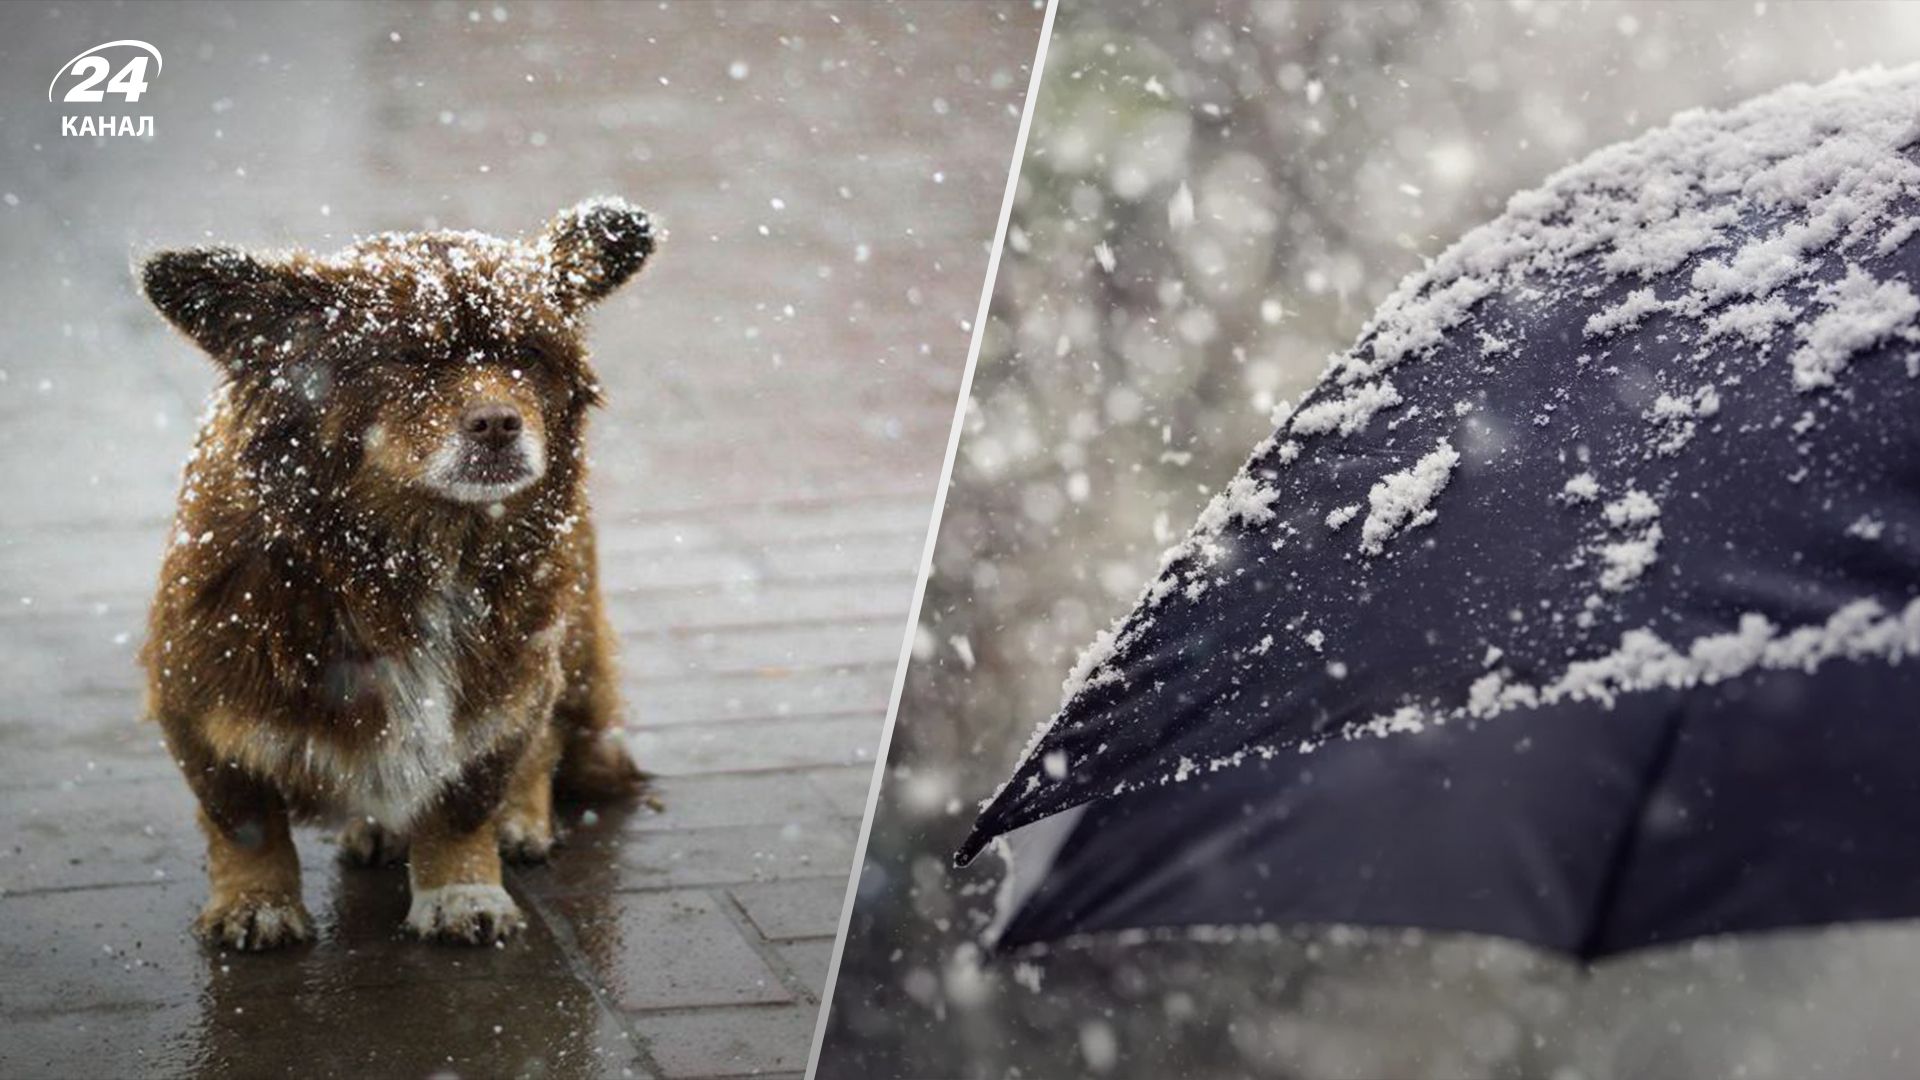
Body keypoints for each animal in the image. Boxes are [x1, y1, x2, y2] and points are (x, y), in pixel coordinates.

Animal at [137, 197, 652, 945]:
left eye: (527, 353)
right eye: (406, 358)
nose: (498, 423)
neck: (411, 552)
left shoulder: (502, 690)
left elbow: (466, 799)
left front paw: (462, 890)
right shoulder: (199, 702)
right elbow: (245, 821)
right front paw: (256, 903)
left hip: (567, 640)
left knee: (551, 737)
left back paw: (521, 818)